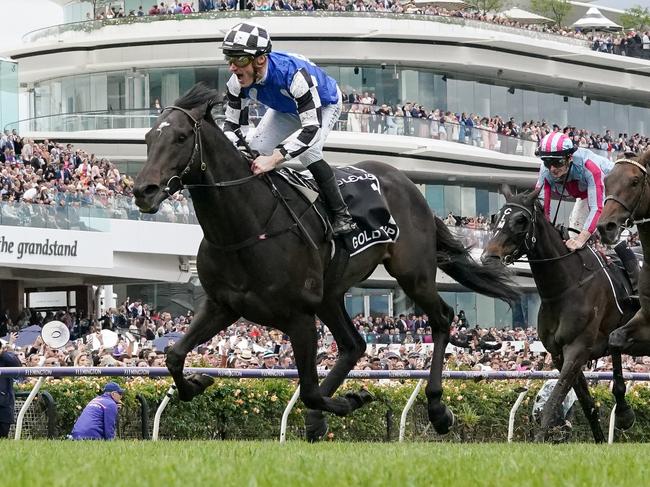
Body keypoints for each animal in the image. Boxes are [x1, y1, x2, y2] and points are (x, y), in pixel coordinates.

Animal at [132, 84, 516, 442]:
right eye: (149, 138)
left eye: (181, 137)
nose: (143, 191)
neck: (247, 227)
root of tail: (409, 185)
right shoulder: (222, 305)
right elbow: (174, 355)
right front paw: (198, 381)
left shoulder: (299, 316)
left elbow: (310, 391)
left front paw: (353, 399)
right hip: (331, 293)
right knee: (354, 344)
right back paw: (319, 420)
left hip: (413, 274)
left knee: (441, 319)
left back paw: (437, 409)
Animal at [478, 187, 636, 442]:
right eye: (496, 217)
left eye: (520, 220)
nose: (488, 258)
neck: (565, 286)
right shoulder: (560, 354)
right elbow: (588, 405)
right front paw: (601, 440)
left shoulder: (578, 348)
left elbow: (554, 400)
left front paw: (538, 439)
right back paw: (623, 413)